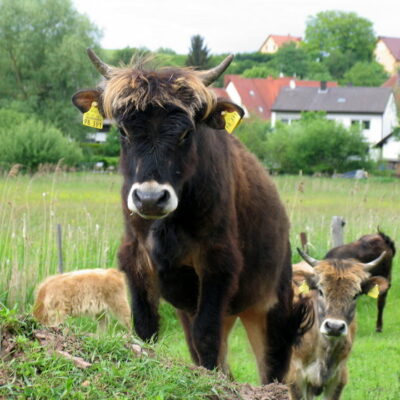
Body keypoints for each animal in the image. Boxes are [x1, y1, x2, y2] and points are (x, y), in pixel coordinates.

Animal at [72, 49, 308, 382]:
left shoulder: (217, 263)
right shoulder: (137, 259)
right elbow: (146, 329)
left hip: (270, 308)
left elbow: (205, 336)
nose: (150, 198)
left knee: (271, 366)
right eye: (123, 130)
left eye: (186, 133)